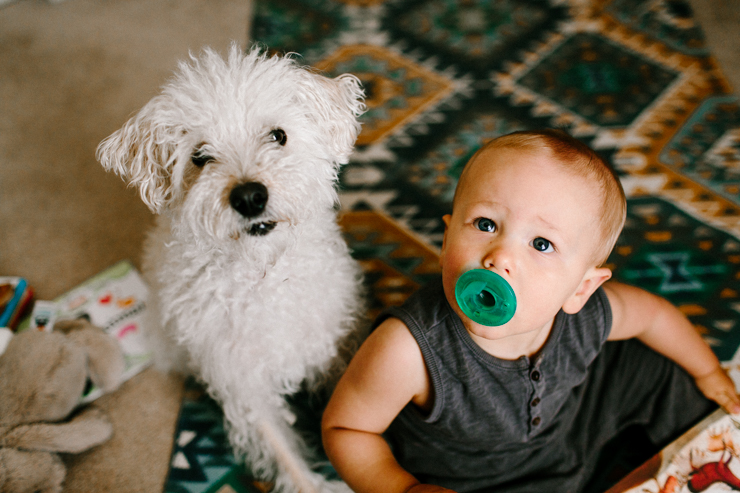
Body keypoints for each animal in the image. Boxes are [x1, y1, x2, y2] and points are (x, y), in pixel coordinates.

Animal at [95, 44, 368, 490]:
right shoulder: (244, 386)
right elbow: (285, 454)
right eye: (200, 156)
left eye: (278, 135)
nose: (250, 197)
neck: (262, 276)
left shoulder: (328, 346)